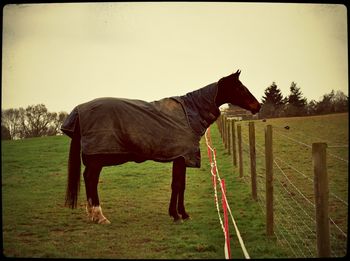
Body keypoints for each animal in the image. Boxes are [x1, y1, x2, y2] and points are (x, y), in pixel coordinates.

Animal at [61, 69, 262, 223]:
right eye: (240, 87)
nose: (258, 106)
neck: (189, 113)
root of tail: (79, 111)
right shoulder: (181, 158)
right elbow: (178, 185)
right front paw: (178, 215)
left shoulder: (180, 158)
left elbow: (180, 185)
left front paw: (179, 213)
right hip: (97, 159)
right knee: (91, 179)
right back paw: (99, 215)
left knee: (88, 179)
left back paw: (92, 214)